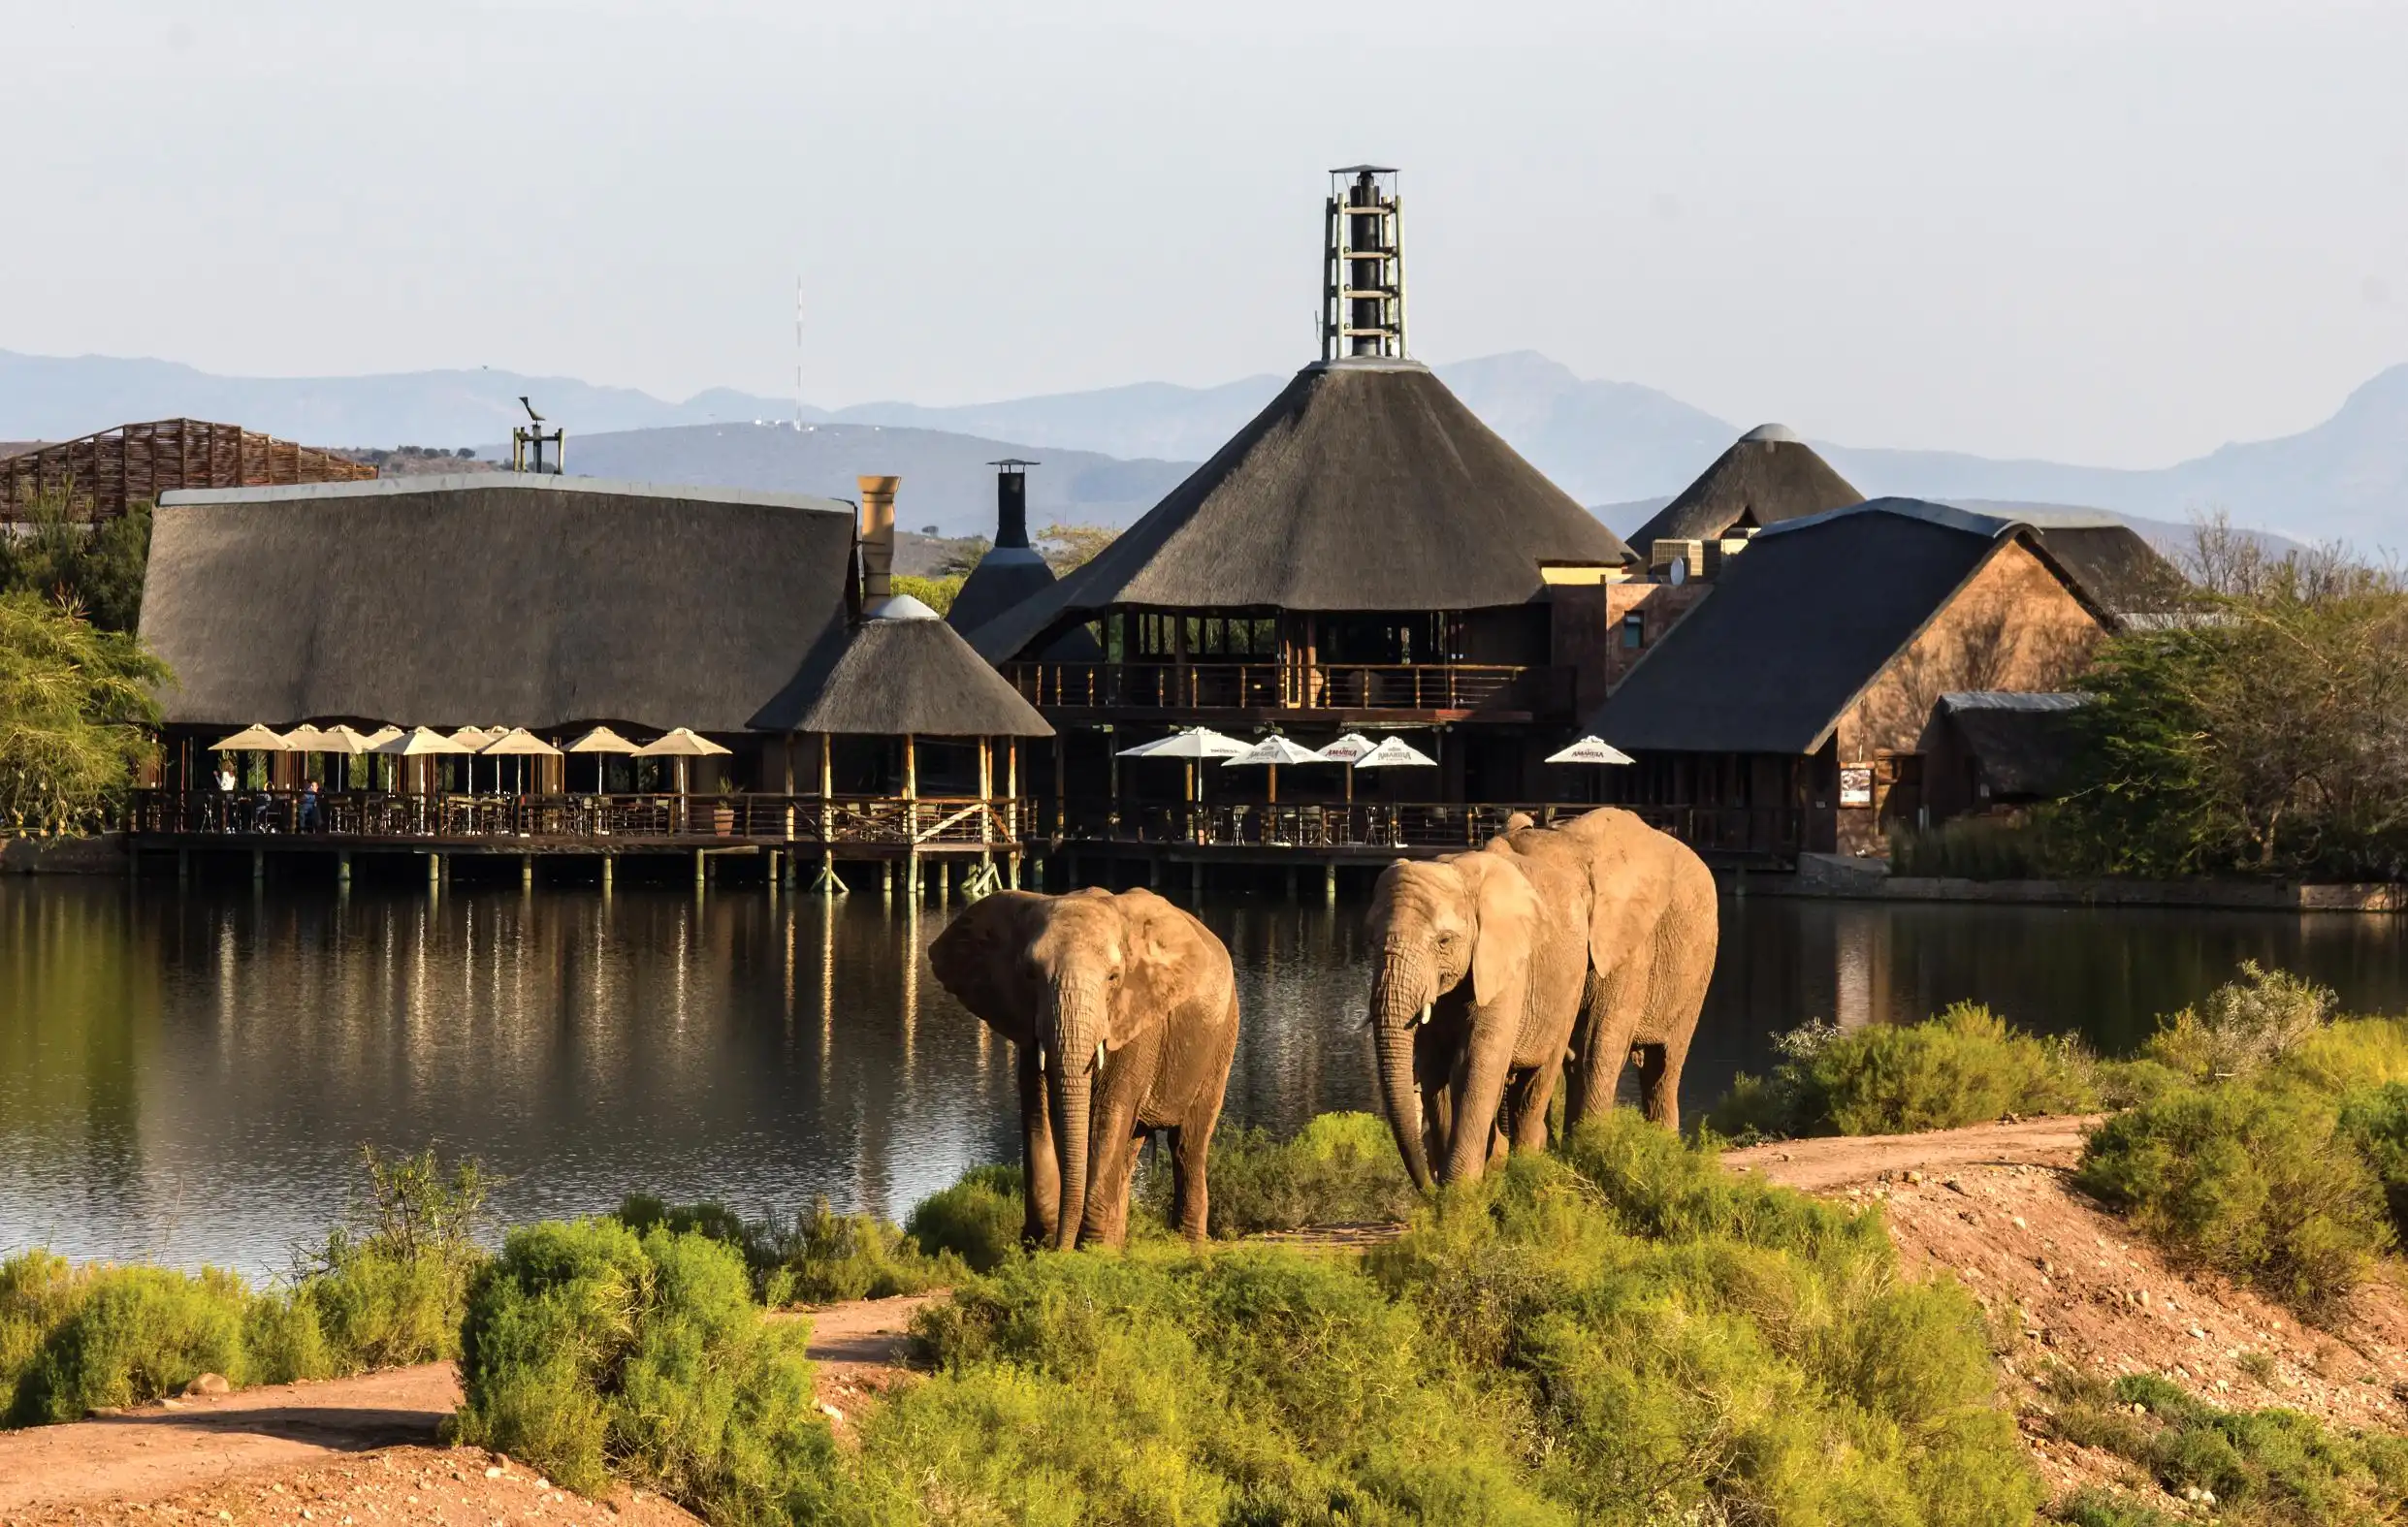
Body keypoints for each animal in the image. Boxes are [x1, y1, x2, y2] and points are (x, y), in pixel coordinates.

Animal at [928, 886, 1239, 1249]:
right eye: (1030, 974)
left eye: (1114, 977)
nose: (1059, 1249)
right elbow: (1037, 1110)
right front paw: (1042, 1243)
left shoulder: (1136, 1018)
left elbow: (1109, 1112)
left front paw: (1087, 1249)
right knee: (1132, 1147)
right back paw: (1117, 1244)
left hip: (1222, 1036)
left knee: (1188, 1143)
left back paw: (1185, 1246)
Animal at [1365, 840, 1593, 1189]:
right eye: (1371, 939)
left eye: (1444, 941)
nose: (1428, 1184)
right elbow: (1435, 1067)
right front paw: (1450, 1185)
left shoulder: (1505, 966)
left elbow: (1475, 1062)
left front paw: (1459, 1188)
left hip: (1570, 986)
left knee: (1534, 1086)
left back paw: (1525, 1166)